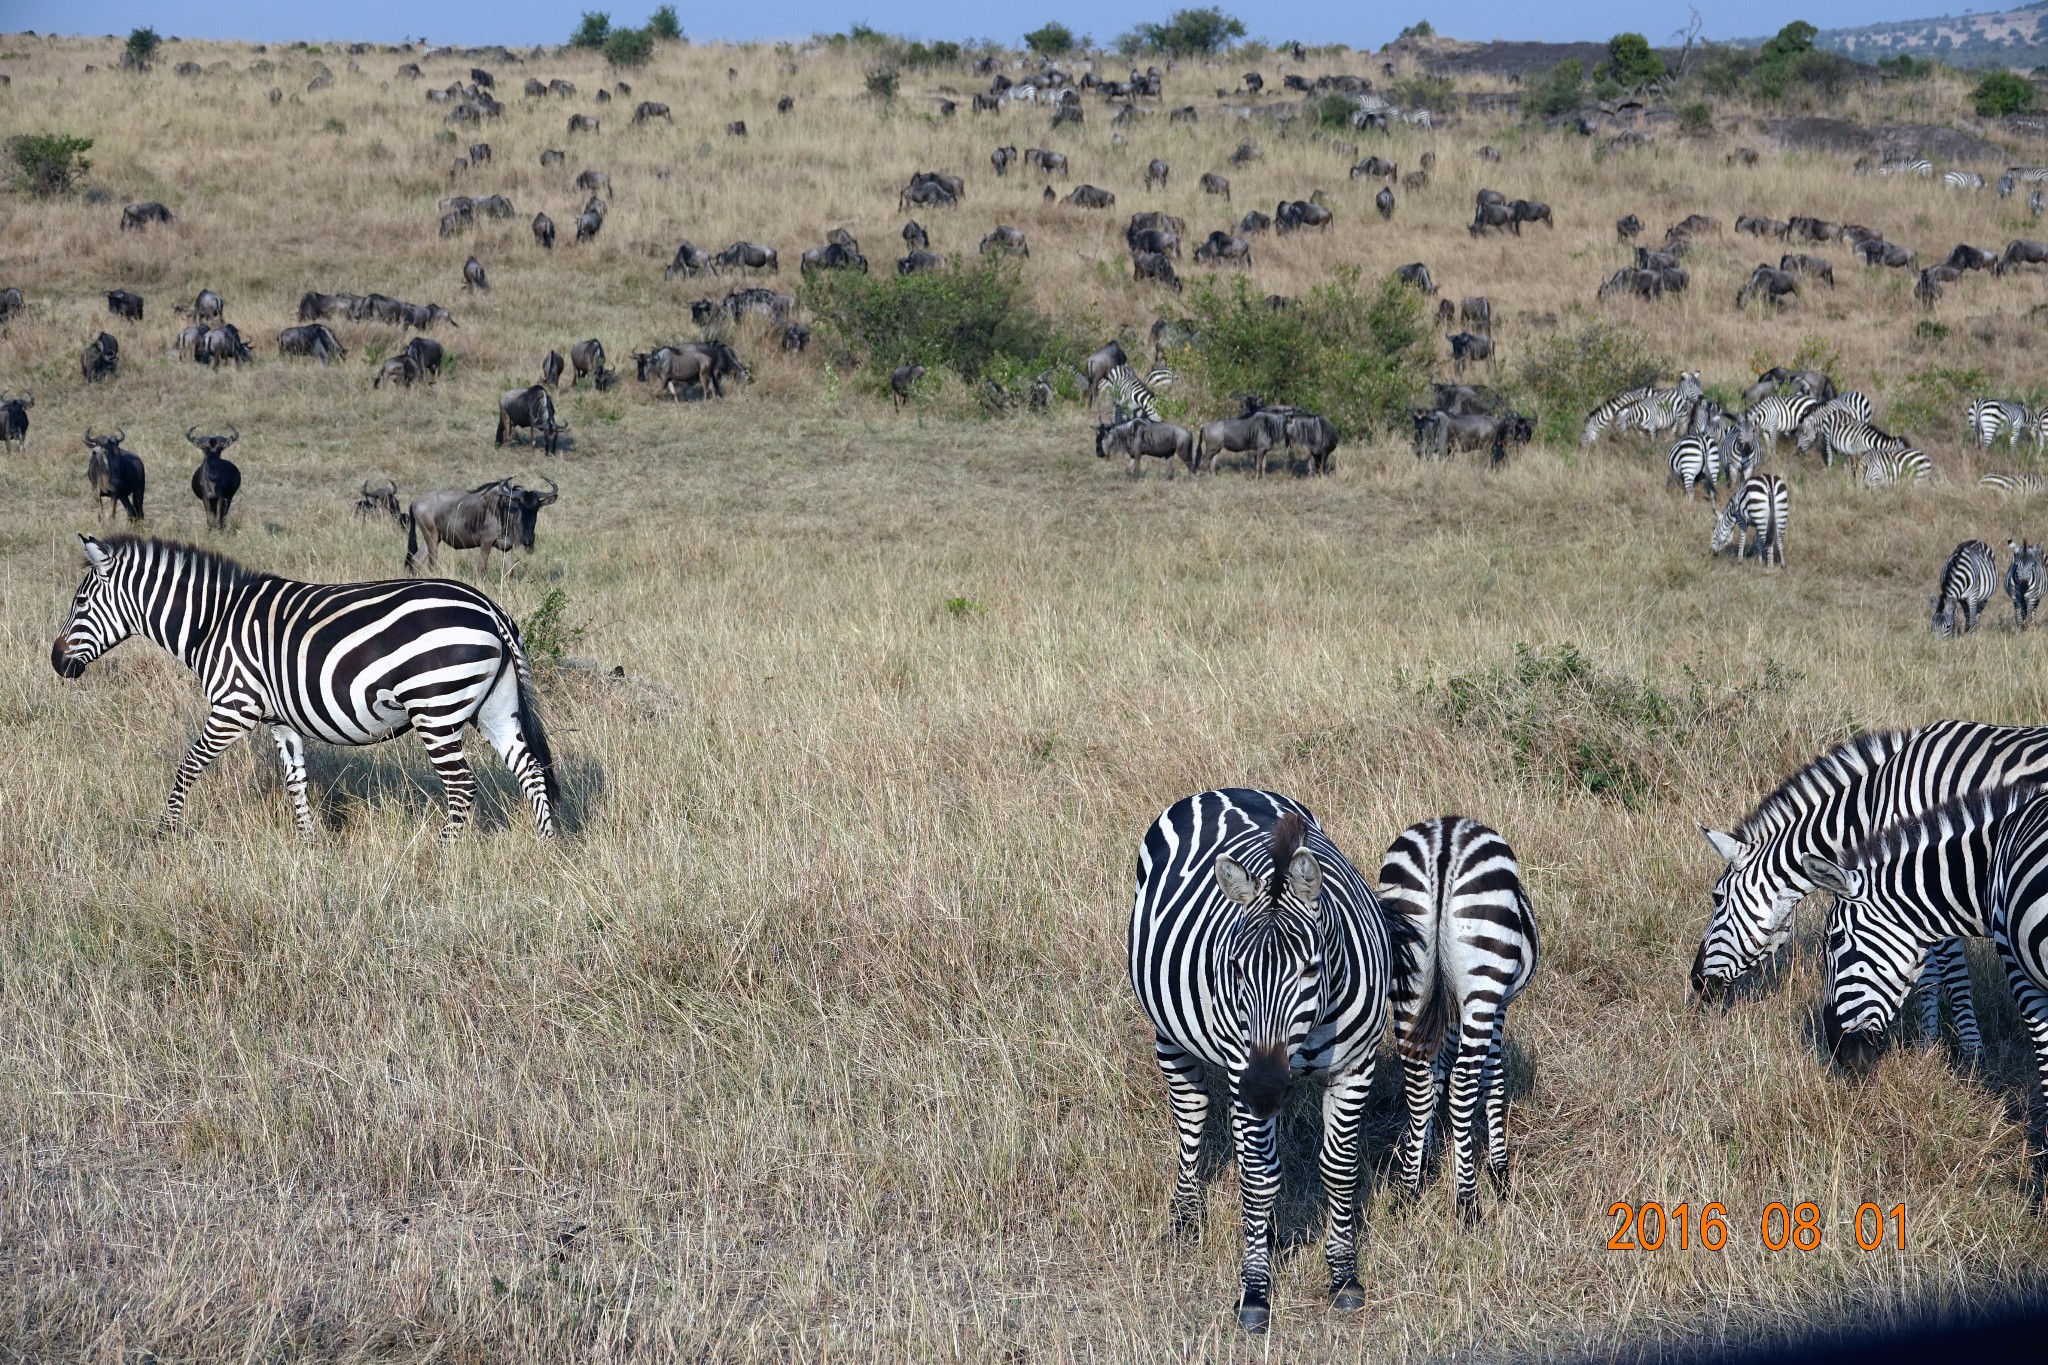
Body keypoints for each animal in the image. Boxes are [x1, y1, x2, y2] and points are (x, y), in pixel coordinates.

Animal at [48, 536, 561, 839]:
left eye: (79, 602)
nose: (55, 662)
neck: (211, 623)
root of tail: (489, 606)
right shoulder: (280, 719)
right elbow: (295, 779)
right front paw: (308, 844)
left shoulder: (233, 707)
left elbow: (187, 766)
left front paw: (165, 832)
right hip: (493, 706)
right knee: (530, 772)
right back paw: (547, 847)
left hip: (435, 708)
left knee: (461, 785)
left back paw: (446, 852)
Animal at [1122, 789, 1392, 1334]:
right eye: (1235, 967)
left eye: (1311, 968)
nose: (1265, 1089)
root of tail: (1223, 790)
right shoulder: (1241, 1063)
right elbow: (1259, 1178)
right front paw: (1255, 1290)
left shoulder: (1355, 1067)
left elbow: (1339, 1170)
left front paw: (1344, 1278)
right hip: (1173, 1035)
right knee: (1193, 1112)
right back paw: (1185, 1219)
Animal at [1376, 818, 1540, 1219]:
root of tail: (1445, 840)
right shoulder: (1498, 1007)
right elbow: (1493, 1077)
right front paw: (1499, 1170)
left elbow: (1436, 1076)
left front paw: (1422, 1158)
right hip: (1484, 978)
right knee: (1464, 1082)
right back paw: (1468, 1201)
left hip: (1409, 976)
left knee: (1418, 1079)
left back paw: (1408, 1189)